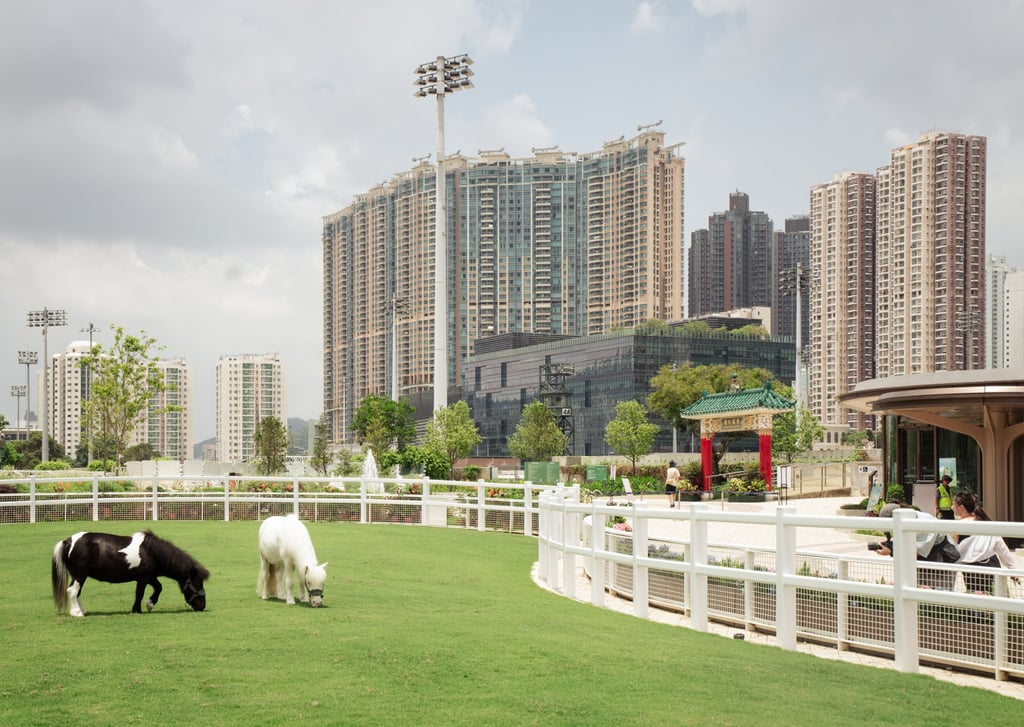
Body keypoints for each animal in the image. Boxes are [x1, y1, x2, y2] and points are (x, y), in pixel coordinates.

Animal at [52, 530, 210, 617]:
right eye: (196, 583)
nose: (202, 605)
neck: (151, 552)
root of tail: (68, 541)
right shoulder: (143, 578)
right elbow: (139, 593)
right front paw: (137, 610)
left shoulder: (150, 577)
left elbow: (158, 588)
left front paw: (149, 604)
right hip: (79, 575)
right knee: (72, 591)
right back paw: (77, 613)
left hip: (81, 576)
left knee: (77, 593)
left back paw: (82, 610)